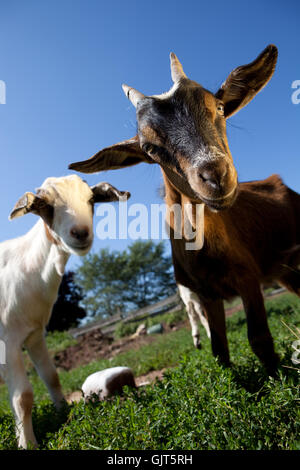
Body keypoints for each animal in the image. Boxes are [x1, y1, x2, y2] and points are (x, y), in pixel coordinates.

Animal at [0, 175, 129, 448]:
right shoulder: (7, 341)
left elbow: (52, 377)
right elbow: (23, 397)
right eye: (45, 204)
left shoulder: (35, 335)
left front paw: (63, 414)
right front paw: (28, 443)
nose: (80, 232)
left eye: (91, 199)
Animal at [68, 45, 300, 374]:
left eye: (219, 108)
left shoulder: (247, 278)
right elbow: (220, 350)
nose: (216, 176)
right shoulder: (206, 292)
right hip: (285, 271)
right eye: (149, 147)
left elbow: (259, 339)